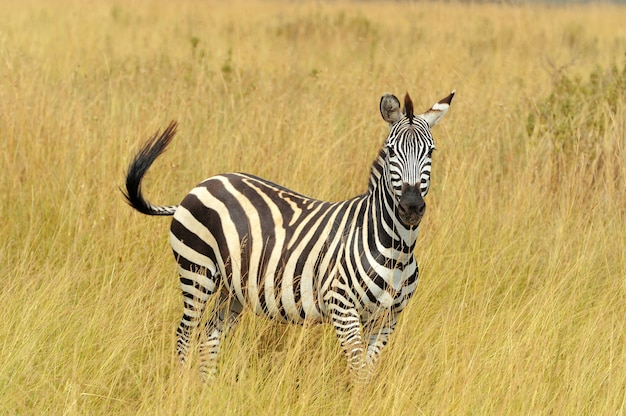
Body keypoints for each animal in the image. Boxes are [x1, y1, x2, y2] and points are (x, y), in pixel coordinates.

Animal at [122, 90, 454, 380]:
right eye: (391, 151)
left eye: (431, 151)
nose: (411, 207)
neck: (397, 248)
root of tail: (202, 185)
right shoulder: (342, 307)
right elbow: (358, 371)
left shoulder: (388, 318)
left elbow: (367, 373)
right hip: (196, 272)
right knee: (184, 334)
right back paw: (183, 391)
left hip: (231, 290)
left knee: (208, 340)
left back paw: (207, 392)